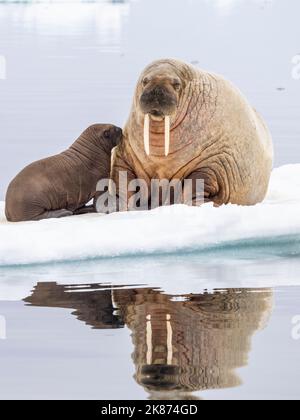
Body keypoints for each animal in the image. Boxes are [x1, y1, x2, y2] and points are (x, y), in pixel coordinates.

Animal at [106, 58, 274, 210]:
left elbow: (197, 183)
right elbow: (122, 180)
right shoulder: (125, 154)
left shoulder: (216, 161)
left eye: (176, 84)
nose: (157, 90)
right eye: (145, 81)